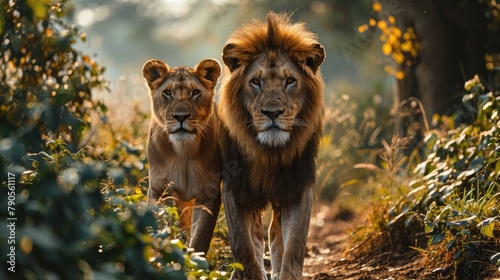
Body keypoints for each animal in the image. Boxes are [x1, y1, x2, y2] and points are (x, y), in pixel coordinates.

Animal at [144, 57, 224, 254]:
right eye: (167, 93)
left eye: (195, 92)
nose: (181, 116)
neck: (184, 153)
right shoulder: (158, 190)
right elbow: (163, 229)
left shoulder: (209, 194)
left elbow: (200, 238)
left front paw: (194, 259)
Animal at [218, 11, 326, 280]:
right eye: (256, 81)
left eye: (290, 81)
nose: (272, 112)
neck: (269, 152)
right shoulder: (234, 187)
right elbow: (243, 245)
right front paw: (248, 274)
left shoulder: (297, 187)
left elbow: (294, 245)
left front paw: (286, 274)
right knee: (257, 236)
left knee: (275, 235)